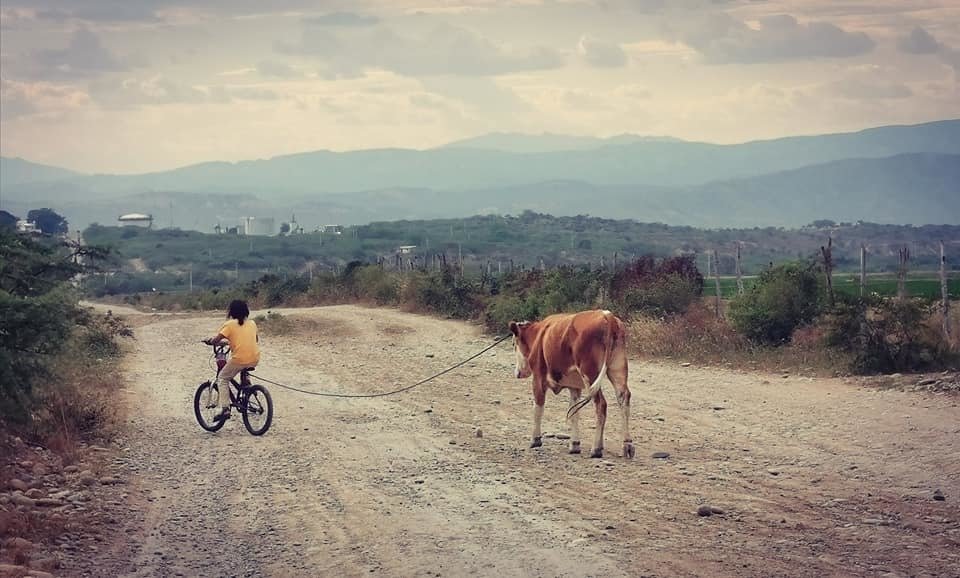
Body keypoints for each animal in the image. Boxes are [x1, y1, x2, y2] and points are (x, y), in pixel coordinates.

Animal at [506, 308, 632, 456]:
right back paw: (627, 446)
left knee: (601, 404)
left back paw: (596, 448)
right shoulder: (574, 387)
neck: (539, 335)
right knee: (623, 397)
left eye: (513, 344)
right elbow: (574, 413)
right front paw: (575, 445)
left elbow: (538, 409)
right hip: (618, 369)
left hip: (590, 375)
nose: (518, 373)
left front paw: (535, 439)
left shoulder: (538, 379)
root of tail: (606, 315)